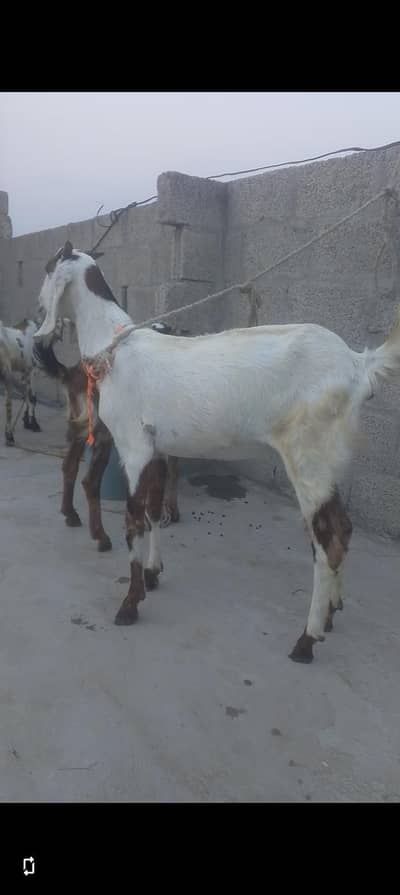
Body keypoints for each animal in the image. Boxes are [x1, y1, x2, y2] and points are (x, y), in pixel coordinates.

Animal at [35, 241, 400, 663]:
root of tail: (359, 364)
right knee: (343, 529)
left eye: (49, 268)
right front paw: (153, 573)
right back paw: (331, 613)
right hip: (332, 459)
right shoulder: (158, 447)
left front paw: (129, 603)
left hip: (307, 454)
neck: (116, 349)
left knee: (327, 539)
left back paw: (306, 640)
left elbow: (134, 519)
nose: (37, 310)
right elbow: (154, 511)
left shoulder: (134, 445)